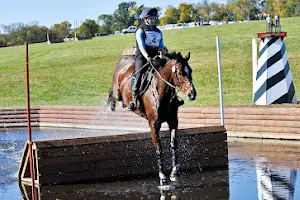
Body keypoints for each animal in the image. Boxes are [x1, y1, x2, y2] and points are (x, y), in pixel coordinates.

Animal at [108, 51, 197, 186]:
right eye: (181, 73)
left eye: (190, 70)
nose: (192, 94)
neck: (162, 92)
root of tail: (124, 58)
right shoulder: (154, 124)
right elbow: (159, 148)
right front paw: (162, 177)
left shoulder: (173, 121)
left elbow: (173, 144)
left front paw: (174, 173)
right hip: (117, 91)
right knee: (112, 93)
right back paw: (112, 105)